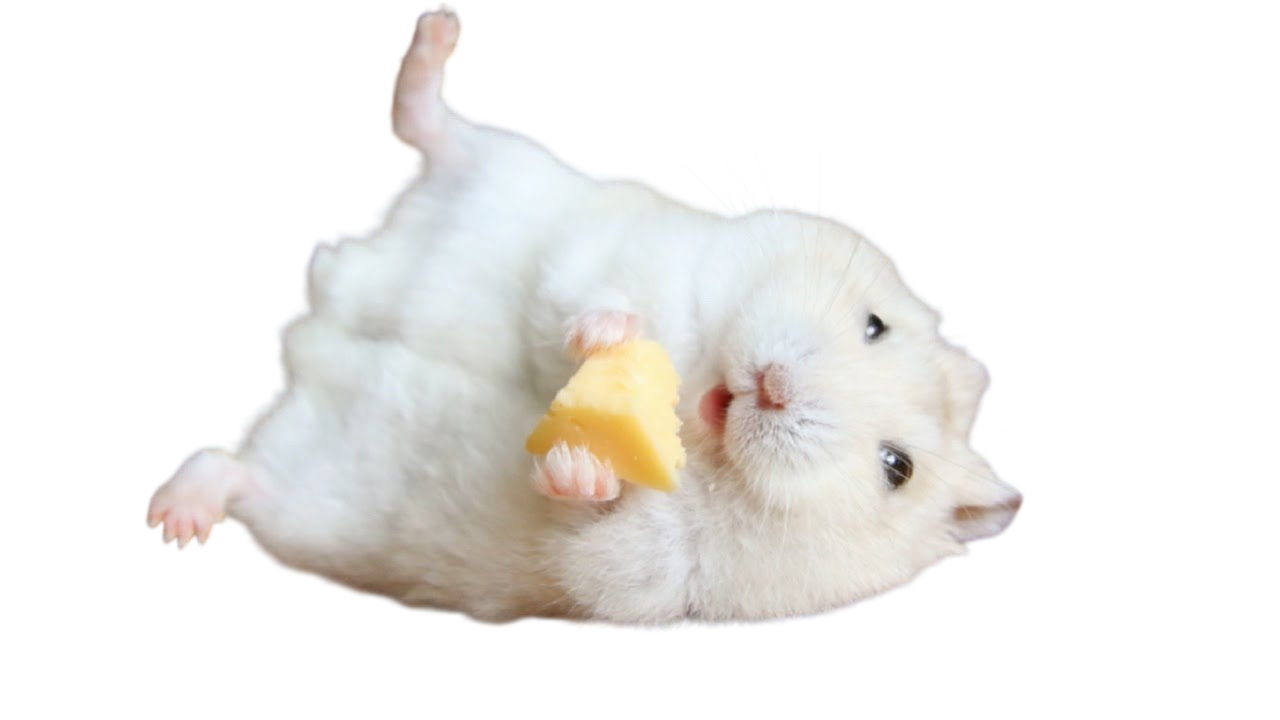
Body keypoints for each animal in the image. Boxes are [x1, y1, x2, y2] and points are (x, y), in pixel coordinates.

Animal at [141, 3, 1024, 631]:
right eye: (875, 324)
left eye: (896, 468)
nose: (773, 386)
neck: (692, 415)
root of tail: (307, 309)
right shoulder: (649, 251)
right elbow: (590, 295)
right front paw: (604, 337)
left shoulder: (647, 581)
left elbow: (597, 522)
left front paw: (577, 464)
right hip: (498, 156)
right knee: (423, 119)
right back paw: (440, 25)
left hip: (288, 505)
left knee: (223, 464)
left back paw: (174, 521)